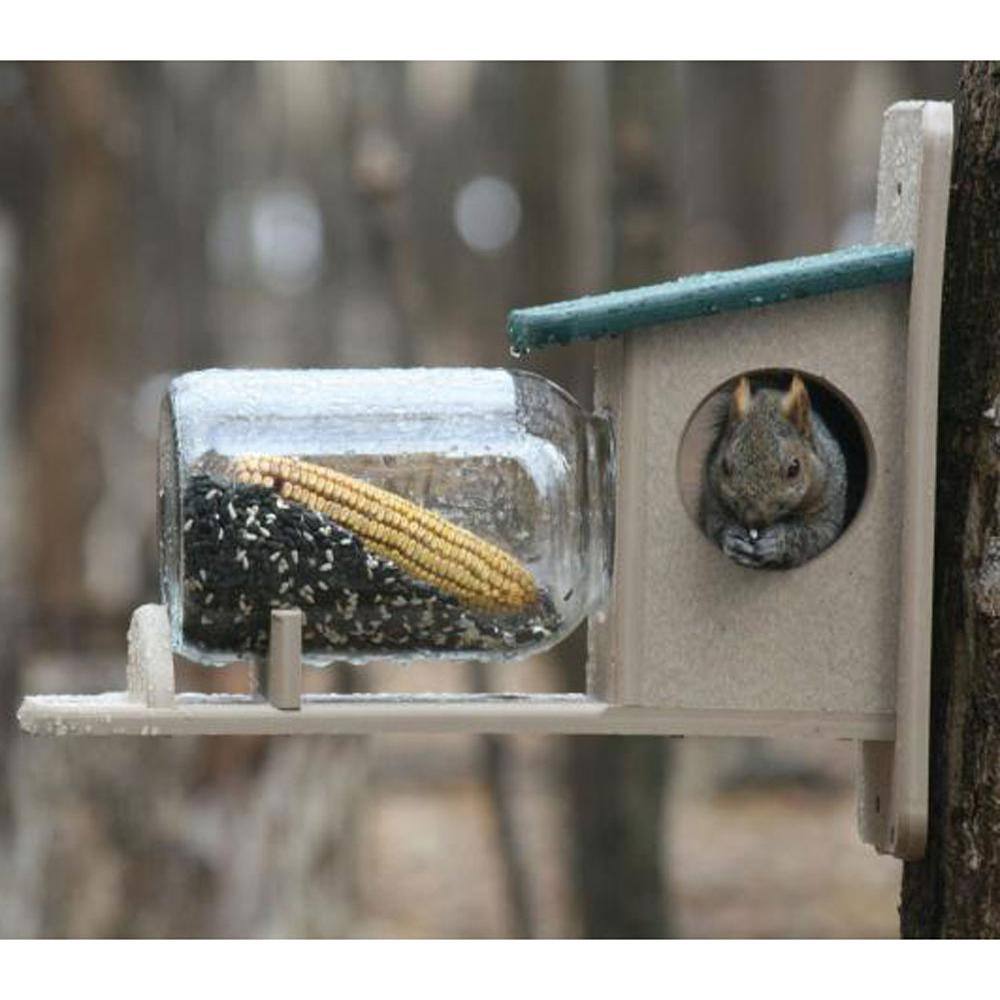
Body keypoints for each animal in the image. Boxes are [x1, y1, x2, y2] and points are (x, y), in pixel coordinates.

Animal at [700, 373, 848, 569]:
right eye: (724, 466)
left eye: (794, 468)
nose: (753, 519)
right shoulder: (712, 498)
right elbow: (714, 524)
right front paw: (731, 537)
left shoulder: (829, 506)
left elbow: (816, 535)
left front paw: (778, 542)